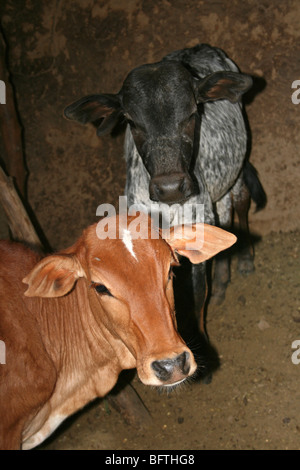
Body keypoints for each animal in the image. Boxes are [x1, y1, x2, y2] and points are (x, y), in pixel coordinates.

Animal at [64, 43, 266, 330]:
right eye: (131, 121)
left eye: (193, 112)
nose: (170, 187)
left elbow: (196, 295)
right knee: (226, 216)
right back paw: (222, 284)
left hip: (236, 172)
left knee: (241, 202)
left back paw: (246, 260)